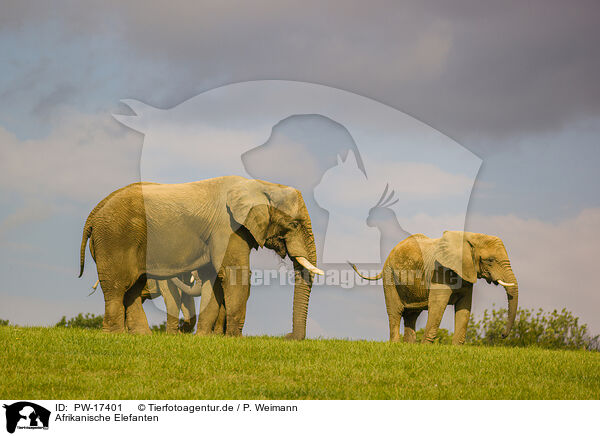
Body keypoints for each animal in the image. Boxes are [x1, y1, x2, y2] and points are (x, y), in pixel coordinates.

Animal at [81, 176, 324, 338]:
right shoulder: (227, 228)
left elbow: (213, 279)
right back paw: (114, 335)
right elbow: (235, 275)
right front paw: (235, 339)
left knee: (132, 287)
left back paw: (142, 337)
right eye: (294, 224)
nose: (289, 337)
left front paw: (205, 339)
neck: (262, 185)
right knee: (117, 286)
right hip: (115, 238)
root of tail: (94, 212)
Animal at [350, 230, 516, 346]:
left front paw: (456, 348)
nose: (502, 335)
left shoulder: (466, 275)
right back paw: (396, 344)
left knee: (411, 314)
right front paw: (426, 347)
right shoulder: (440, 272)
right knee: (395, 311)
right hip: (389, 275)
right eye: (490, 260)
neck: (470, 237)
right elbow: (438, 305)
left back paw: (409, 346)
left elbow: (464, 307)